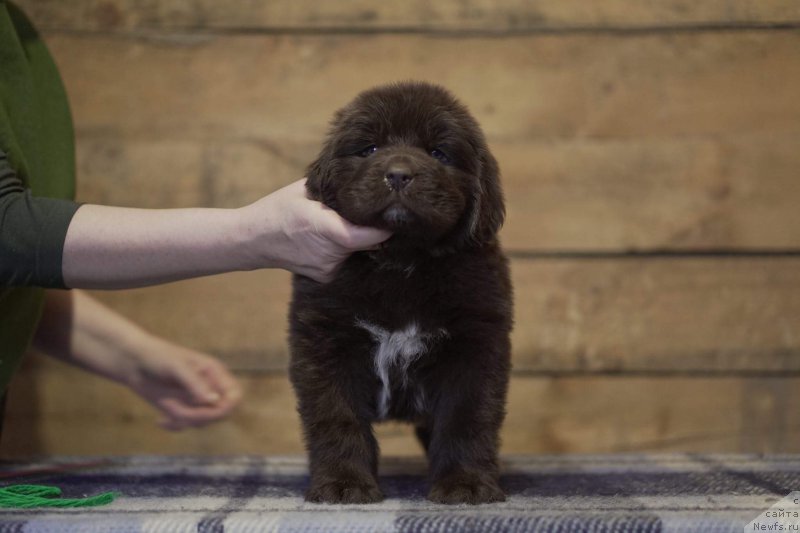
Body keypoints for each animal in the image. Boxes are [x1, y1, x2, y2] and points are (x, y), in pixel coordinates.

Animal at [288, 80, 512, 502]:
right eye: (369, 149)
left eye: (438, 152)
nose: (398, 175)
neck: (403, 262)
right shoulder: (325, 341)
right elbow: (336, 418)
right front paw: (343, 484)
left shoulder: (476, 343)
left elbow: (467, 418)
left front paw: (466, 484)